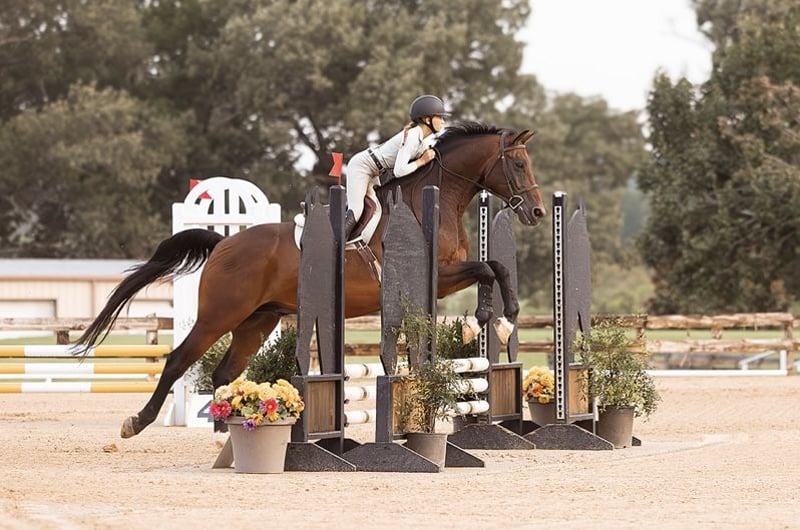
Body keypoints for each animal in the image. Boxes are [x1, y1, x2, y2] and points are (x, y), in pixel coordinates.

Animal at [74, 121, 546, 439]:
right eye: (517, 163)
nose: (537, 212)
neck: (435, 199)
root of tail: (225, 242)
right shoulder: (435, 276)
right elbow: (488, 269)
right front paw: (491, 319)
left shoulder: (442, 279)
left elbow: (494, 268)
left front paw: (497, 320)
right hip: (219, 315)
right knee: (178, 361)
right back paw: (137, 422)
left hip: (257, 321)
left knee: (226, 371)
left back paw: (228, 430)